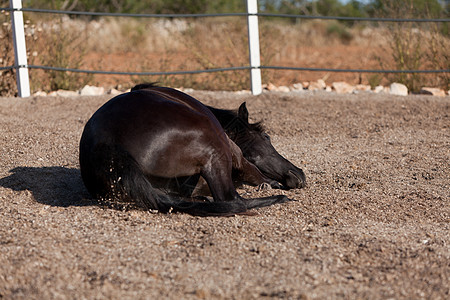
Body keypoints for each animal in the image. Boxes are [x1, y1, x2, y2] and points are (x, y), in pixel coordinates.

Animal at [80, 84, 306, 216]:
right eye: (267, 137)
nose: (298, 174)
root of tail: (108, 144)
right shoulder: (238, 156)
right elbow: (254, 172)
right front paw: (271, 184)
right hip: (216, 150)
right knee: (232, 200)